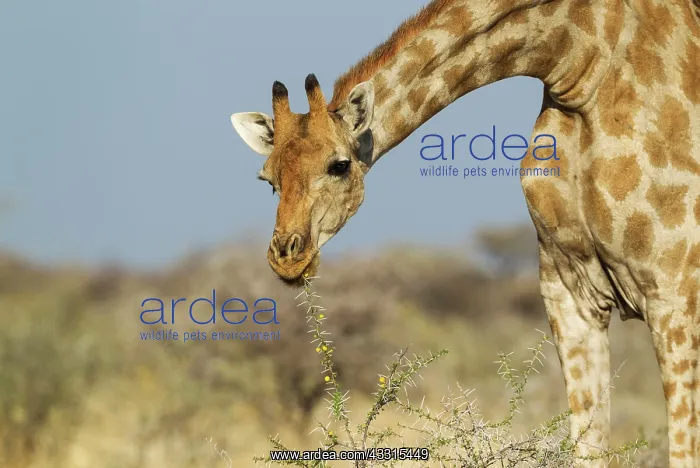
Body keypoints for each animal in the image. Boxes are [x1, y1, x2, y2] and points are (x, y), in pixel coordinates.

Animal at [230, 0, 700, 465]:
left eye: (339, 165)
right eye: (267, 179)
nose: (287, 257)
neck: (580, 65)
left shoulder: (675, 296)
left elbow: (682, 448)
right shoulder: (571, 294)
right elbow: (589, 447)